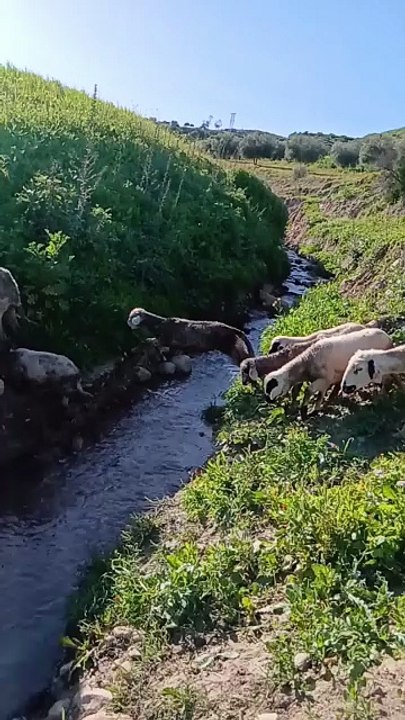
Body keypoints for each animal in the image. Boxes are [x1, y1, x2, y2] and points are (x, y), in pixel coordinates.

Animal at [263, 327, 393, 418]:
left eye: (270, 386)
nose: (267, 400)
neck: (307, 361)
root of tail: (386, 336)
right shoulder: (323, 380)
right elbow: (301, 392)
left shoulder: (325, 379)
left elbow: (309, 391)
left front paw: (307, 412)